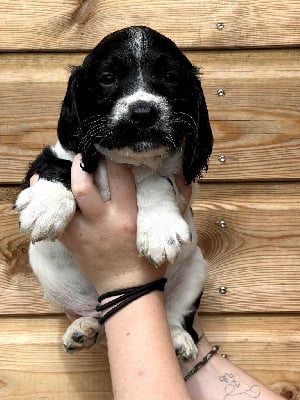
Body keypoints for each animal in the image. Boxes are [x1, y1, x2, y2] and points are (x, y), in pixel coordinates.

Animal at [15, 26, 213, 360]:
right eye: (107, 78)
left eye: (171, 77)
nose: (143, 112)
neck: (127, 162)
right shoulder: (55, 156)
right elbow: (60, 167)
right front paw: (47, 207)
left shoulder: (179, 177)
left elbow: (156, 178)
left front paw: (159, 227)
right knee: (97, 318)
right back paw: (83, 328)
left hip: (195, 271)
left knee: (175, 314)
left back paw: (176, 337)